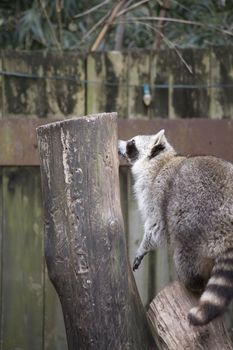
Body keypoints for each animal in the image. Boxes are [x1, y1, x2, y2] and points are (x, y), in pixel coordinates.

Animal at [118, 130, 233, 326]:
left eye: (131, 143)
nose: (119, 144)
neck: (160, 160)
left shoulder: (156, 193)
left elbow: (156, 228)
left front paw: (144, 247)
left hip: (198, 221)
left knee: (184, 248)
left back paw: (192, 282)